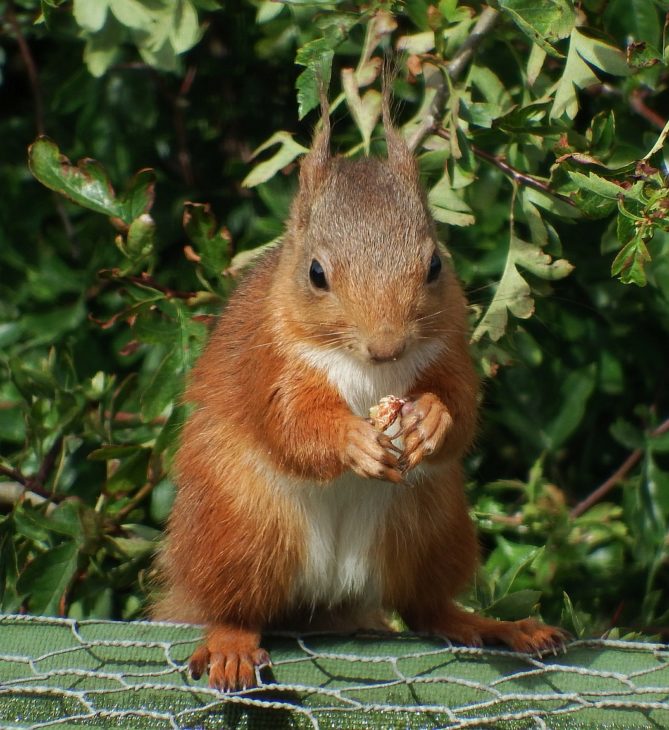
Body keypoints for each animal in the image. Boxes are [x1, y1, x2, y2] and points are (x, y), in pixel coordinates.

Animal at [154, 98, 568, 688]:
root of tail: (326, 595)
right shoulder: (269, 360)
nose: (387, 346)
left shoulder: (451, 348)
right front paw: (352, 442)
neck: (367, 370)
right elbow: (290, 423)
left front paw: (432, 418)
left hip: (429, 526)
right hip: (242, 527)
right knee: (234, 607)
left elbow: (461, 409)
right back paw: (231, 643)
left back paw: (496, 626)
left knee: (426, 608)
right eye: (315, 273)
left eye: (435, 264)